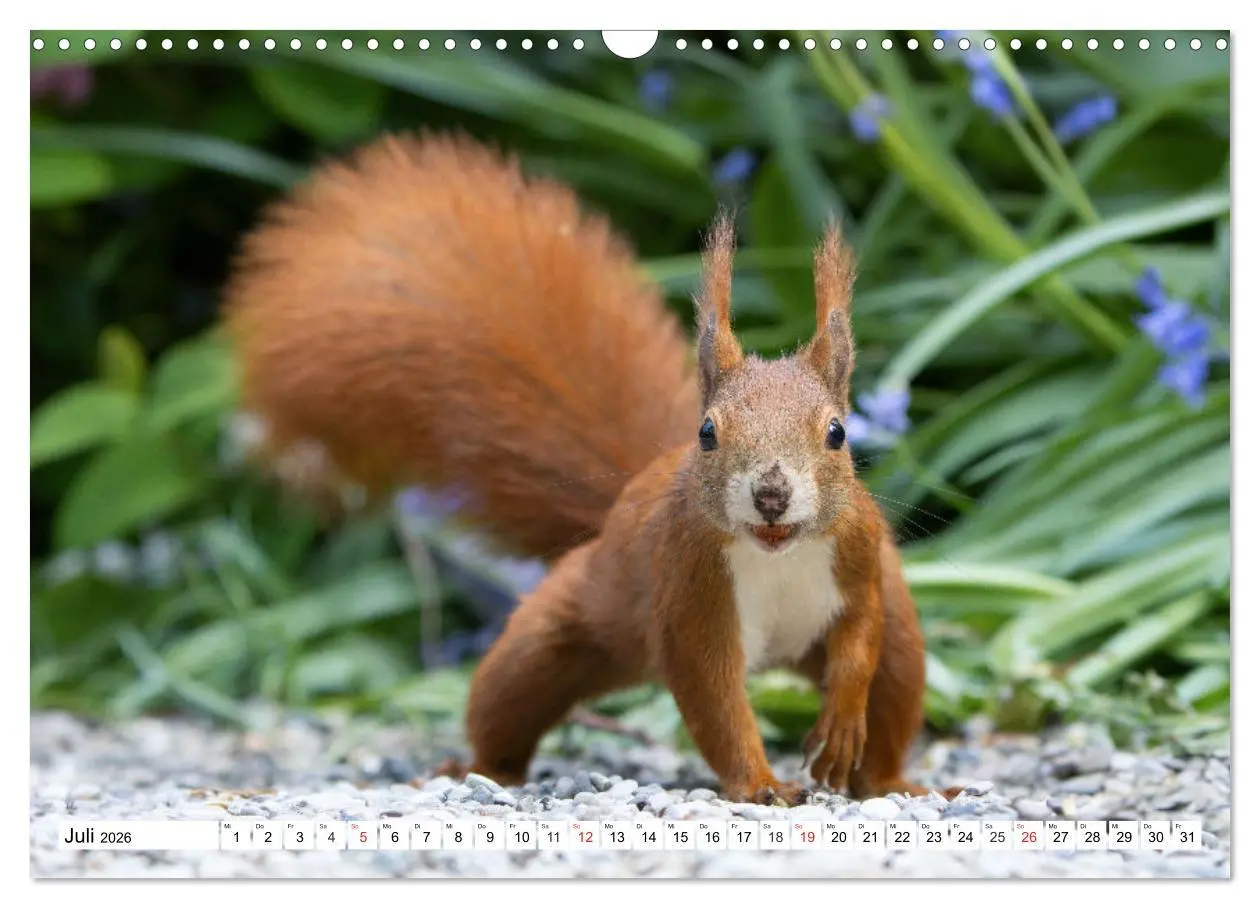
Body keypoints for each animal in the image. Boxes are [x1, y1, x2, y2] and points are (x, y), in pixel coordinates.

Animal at [223, 132, 959, 805]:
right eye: (708, 433)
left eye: (838, 433)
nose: (772, 493)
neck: (774, 554)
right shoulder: (686, 583)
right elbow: (714, 695)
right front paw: (759, 785)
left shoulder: (860, 553)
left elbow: (860, 635)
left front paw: (839, 720)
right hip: (566, 628)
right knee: (511, 694)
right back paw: (479, 768)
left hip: (903, 644)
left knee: (894, 684)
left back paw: (894, 781)